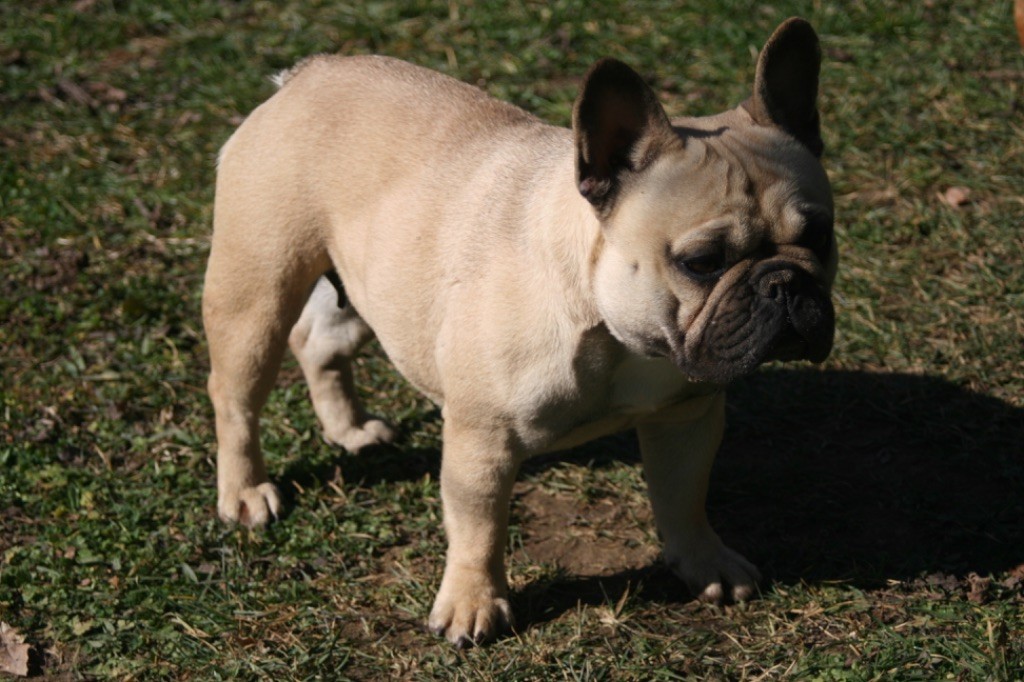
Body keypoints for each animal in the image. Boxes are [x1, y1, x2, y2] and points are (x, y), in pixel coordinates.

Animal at [203, 15, 835, 643]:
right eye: (701, 262)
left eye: (822, 235)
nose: (784, 284)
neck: (614, 331)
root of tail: (307, 74)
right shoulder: (483, 440)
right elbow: (478, 529)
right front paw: (472, 604)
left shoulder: (686, 417)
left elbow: (684, 498)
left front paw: (704, 563)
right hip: (258, 293)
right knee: (236, 397)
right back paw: (245, 493)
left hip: (373, 294)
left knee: (320, 343)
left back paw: (350, 428)